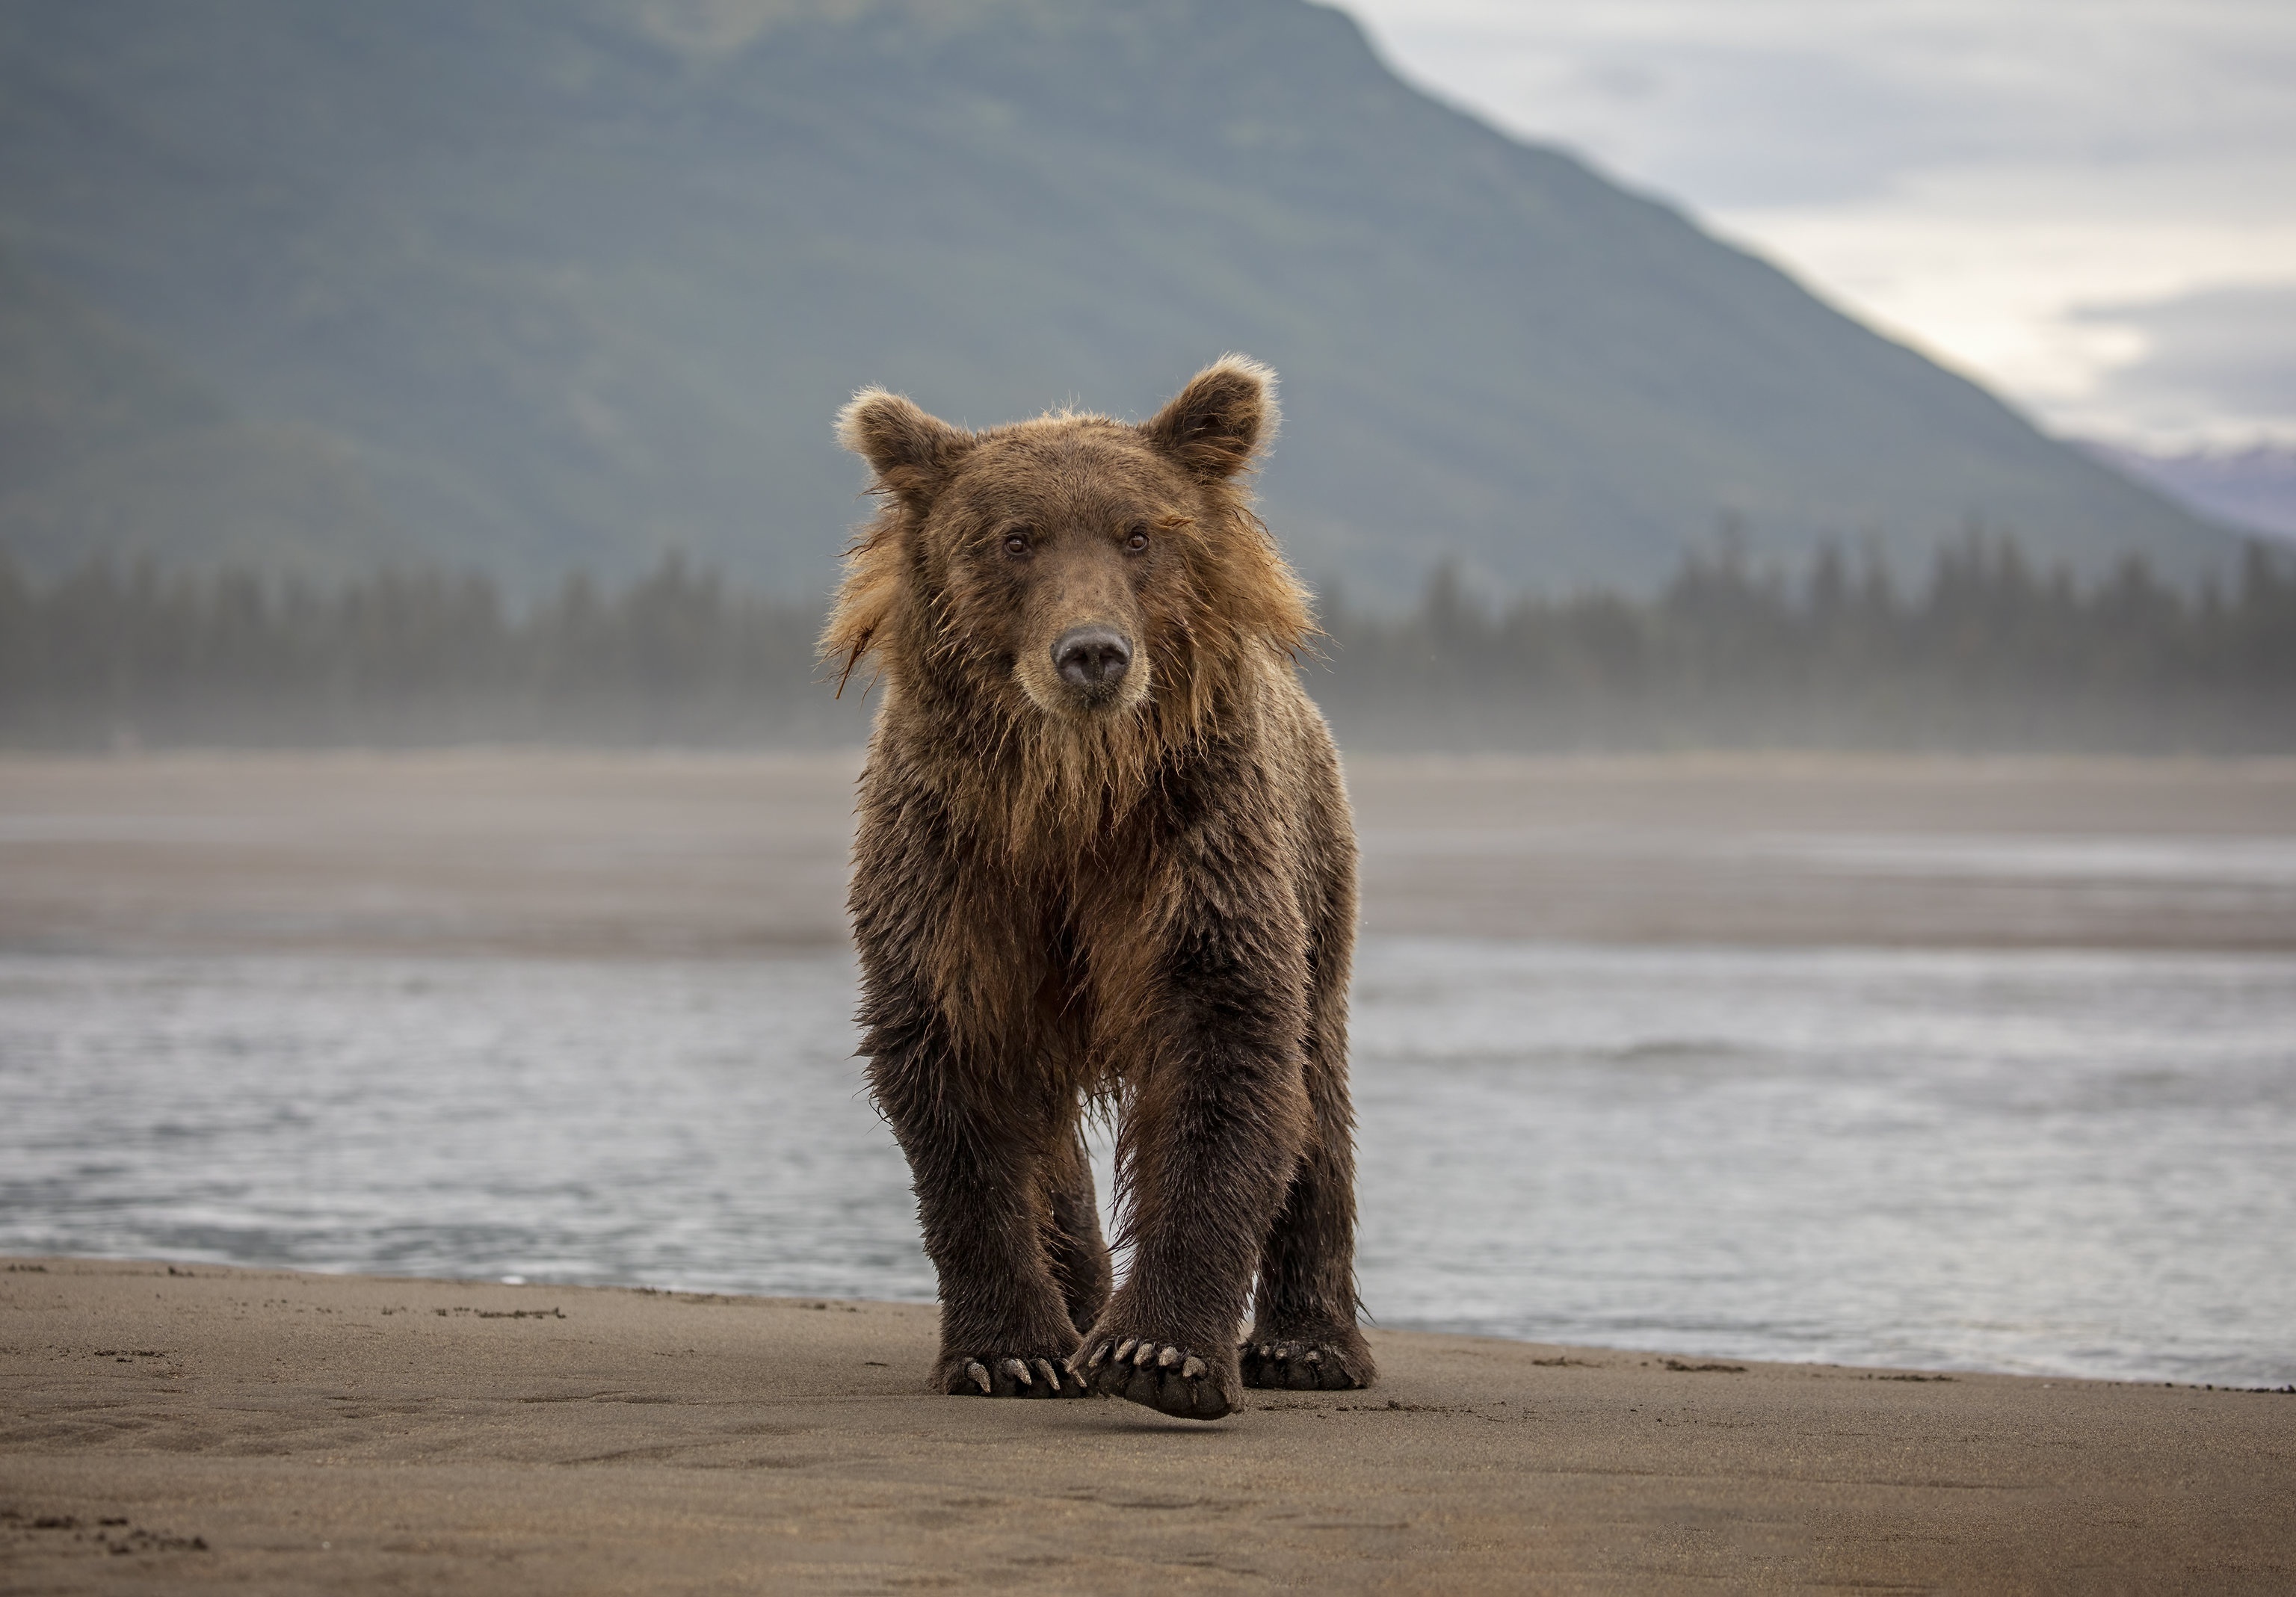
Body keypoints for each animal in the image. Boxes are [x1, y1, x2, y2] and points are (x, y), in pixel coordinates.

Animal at [822, 357, 1373, 1422]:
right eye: (1015, 538)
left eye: (1140, 533)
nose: (1091, 653)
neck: (1071, 797)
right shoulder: (954, 868)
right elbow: (954, 1077)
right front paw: (1010, 1351)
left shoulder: (1193, 845)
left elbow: (1228, 1054)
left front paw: (1163, 1352)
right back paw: (1077, 1305)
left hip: (1317, 865)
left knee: (1317, 1091)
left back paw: (1310, 1343)